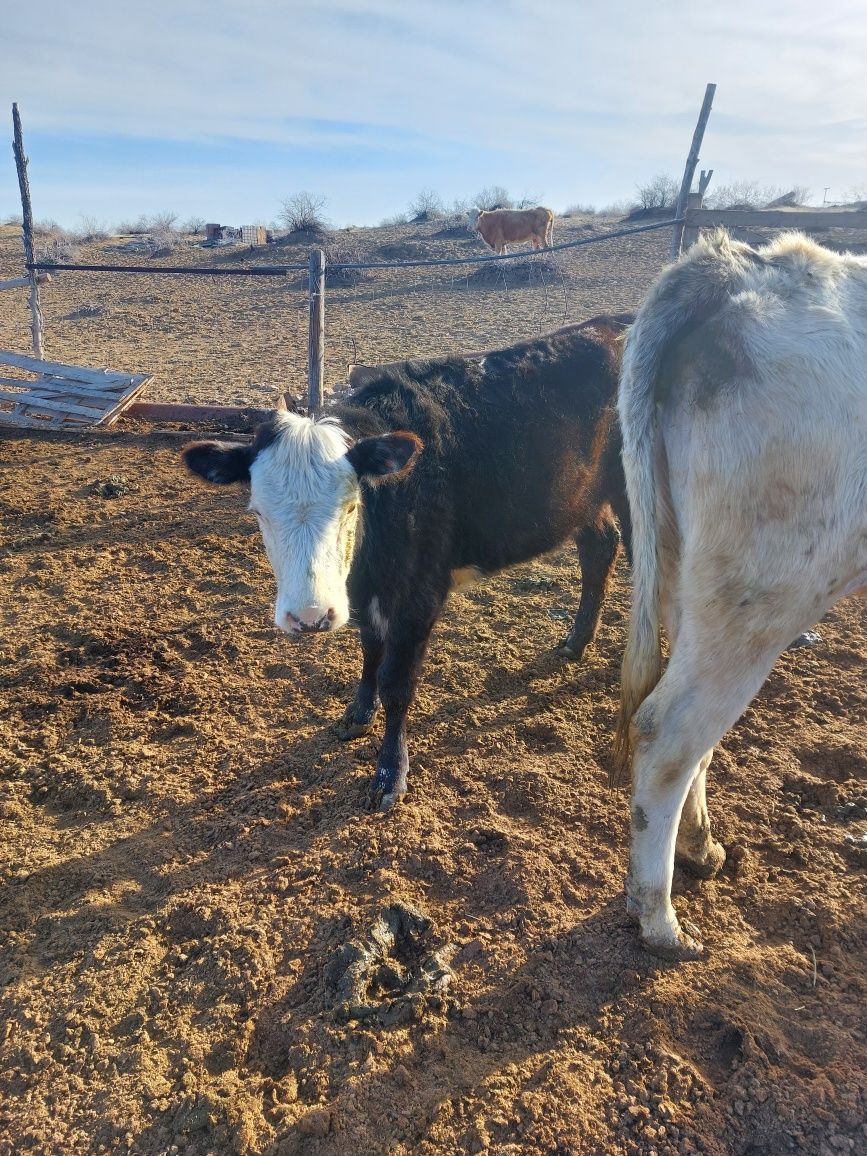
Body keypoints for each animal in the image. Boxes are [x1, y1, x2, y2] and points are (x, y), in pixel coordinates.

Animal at [183, 314, 633, 804]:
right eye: (258, 512)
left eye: (351, 507)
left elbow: (397, 680)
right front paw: (357, 714)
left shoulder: (420, 593)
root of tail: (616, 321)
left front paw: (389, 774)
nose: (310, 616)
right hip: (584, 500)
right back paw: (576, 641)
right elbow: (370, 650)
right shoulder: (364, 591)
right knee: (599, 549)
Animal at [619, 230, 867, 961]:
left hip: (694, 575)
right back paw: (660, 919)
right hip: (763, 594)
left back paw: (698, 850)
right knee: (670, 731)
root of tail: (733, 268)